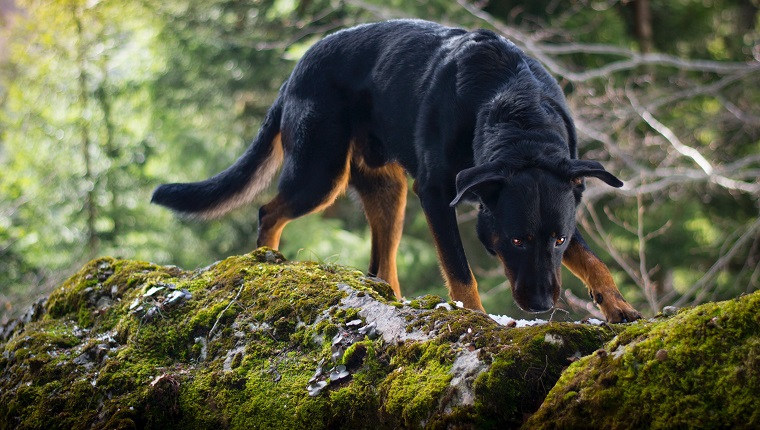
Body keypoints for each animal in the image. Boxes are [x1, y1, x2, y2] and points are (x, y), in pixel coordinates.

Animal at [153, 20, 640, 322]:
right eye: (516, 240)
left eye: (557, 240)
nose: (540, 306)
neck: (517, 111)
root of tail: (296, 71)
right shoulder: (438, 194)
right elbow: (460, 270)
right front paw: (476, 318)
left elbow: (592, 259)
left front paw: (617, 306)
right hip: (320, 173)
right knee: (269, 211)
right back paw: (267, 260)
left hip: (389, 191)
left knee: (380, 266)